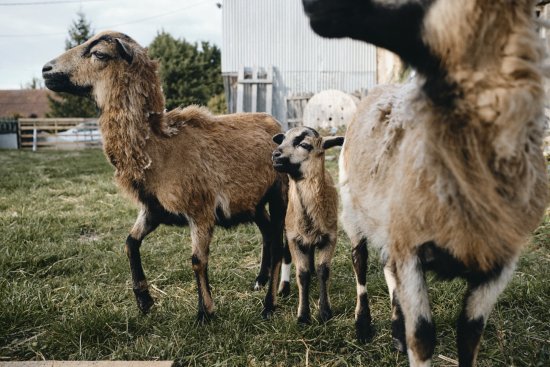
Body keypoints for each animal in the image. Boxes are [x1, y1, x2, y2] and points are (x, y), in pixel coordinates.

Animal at [41, 30, 288, 320]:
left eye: (99, 54)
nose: (46, 70)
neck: (158, 147)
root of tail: (273, 120)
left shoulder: (200, 210)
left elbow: (197, 261)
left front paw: (205, 313)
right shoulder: (153, 209)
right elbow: (130, 243)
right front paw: (144, 300)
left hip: (280, 192)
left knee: (278, 243)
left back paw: (269, 304)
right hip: (253, 201)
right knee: (268, 234)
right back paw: (260, 281)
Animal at [272, 128, 344, 324]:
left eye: (304, 145)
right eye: (282, 140)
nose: (275, 155)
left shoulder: (330, 237)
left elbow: (323, 271)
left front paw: (325, 312)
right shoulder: (294, 238)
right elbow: (301, 274)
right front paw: (303, 316)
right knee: (286, 254)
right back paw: (283, 288)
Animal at [304, 0, 548, 367]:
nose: (310, 6)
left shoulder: (497, 265)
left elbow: (469, 336)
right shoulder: (412, 249)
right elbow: (422, 336)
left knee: (387, 269)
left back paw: (395, 330)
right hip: (354, 210)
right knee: (360, 261)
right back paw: (363, 326)